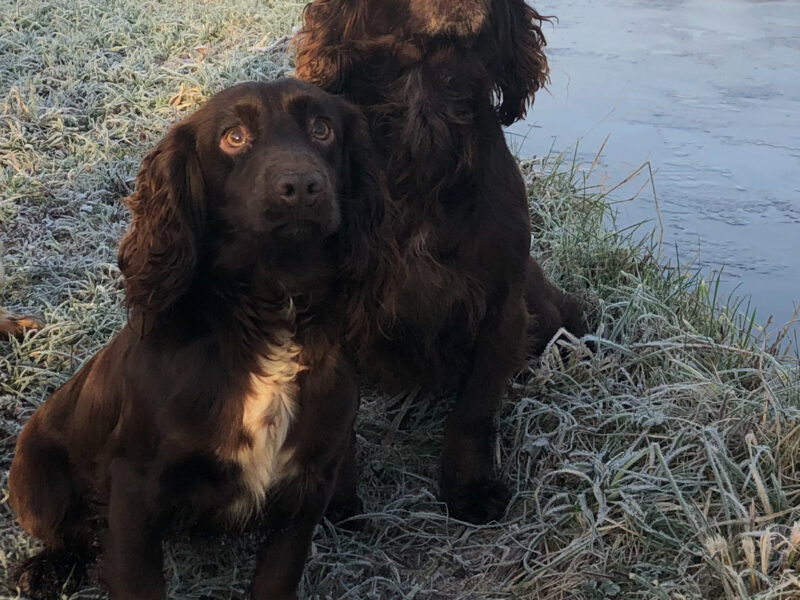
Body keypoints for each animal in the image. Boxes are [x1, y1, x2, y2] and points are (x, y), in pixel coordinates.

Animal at [7, 78, 390, 600]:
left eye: (322, 128)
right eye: (234, 137)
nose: (302, 187)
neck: (269, 317)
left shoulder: (306, 485)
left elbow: (279, 574)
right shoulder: (135, 490)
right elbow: (136, 578)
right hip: (34, 481)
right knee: (66, 531)